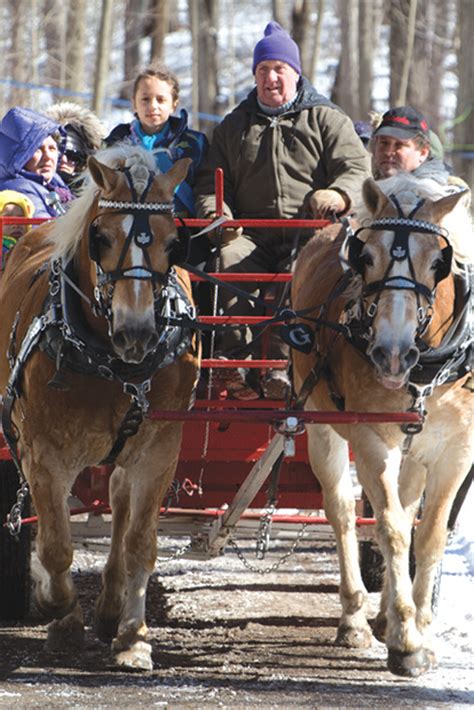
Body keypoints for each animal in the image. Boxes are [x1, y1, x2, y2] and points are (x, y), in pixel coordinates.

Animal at [0, 146, 200, 672]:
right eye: (102, 238)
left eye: (174, 242)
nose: (138, 333)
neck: (110, 364)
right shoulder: (43, 453)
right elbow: (55, 545)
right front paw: (62, 616)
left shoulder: (159, 450)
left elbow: (140, 543)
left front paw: (133, 636)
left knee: (119, 501)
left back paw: (111, 609)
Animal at [290, 174, 472, 680]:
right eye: (365, 255)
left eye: (438, 262)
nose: (391, 354)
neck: (426, 371)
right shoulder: (372, 438)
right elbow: (390, 529)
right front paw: (407, 640)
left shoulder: (457, 449)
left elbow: (428, 534)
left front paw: (420, 625)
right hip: (323, 425)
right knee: (342, 512)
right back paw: (355, 617)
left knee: (408, 509)